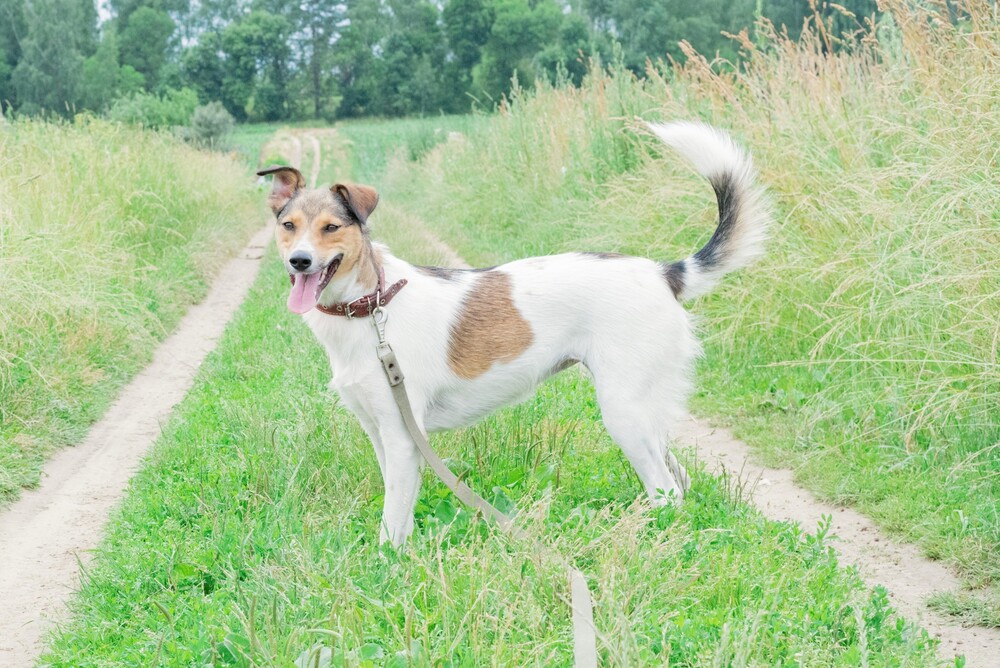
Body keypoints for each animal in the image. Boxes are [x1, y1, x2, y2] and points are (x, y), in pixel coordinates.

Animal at [260, 122, 772, 544]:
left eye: (331, 227)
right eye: (288, 226)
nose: (299, 261)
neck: (372, 309)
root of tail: (664, 273)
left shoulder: (404, 438)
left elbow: (391, 523)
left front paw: (388, 568)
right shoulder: (382, 434)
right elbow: (398, 512)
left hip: (623, 409)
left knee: (666, 489)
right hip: (641, 410)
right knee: (678, 479)